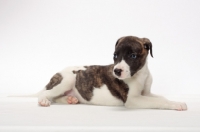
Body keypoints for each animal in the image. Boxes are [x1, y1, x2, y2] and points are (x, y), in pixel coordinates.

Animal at [38, 35, 188, 110]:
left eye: (132, 56)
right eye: (115, 55)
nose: (116, 71)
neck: (140, 74)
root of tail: (57, 74)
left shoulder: (146, 93)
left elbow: (161, 98)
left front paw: (173, 101)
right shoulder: (133, 99)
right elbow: (157, 102)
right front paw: (177, 104)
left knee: (56, 97)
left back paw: (70, 99)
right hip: (68, 79)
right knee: (45, 93)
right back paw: (44, 101)